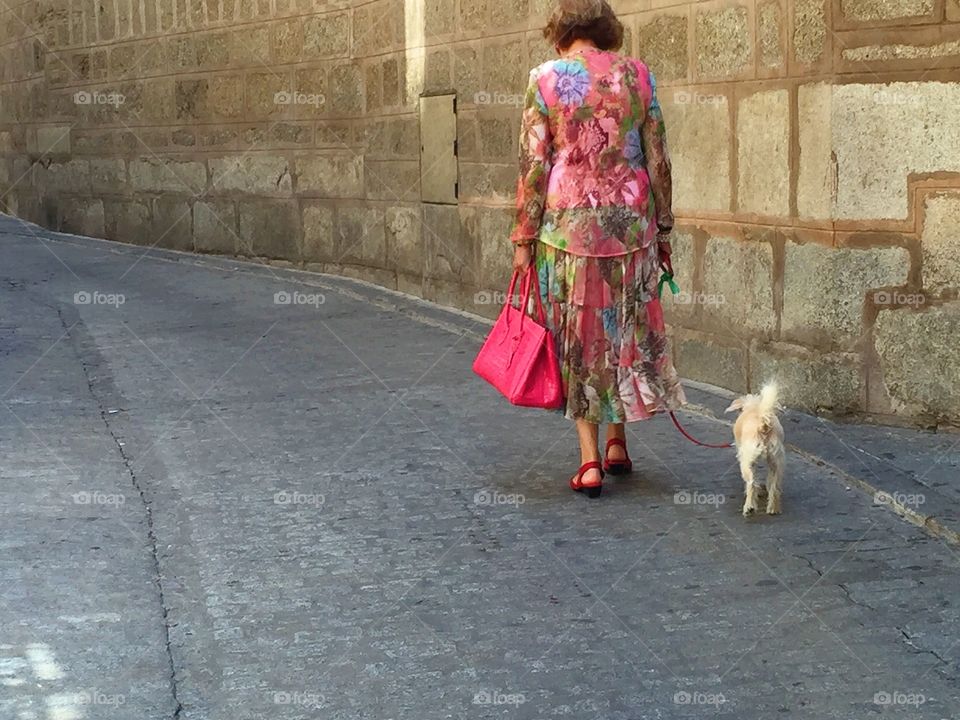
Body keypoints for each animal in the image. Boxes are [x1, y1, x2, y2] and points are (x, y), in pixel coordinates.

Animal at [724, 386, 784, 516]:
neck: (754, 406)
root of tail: (763, 425)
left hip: (746, 463)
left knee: (751, 483)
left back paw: (749, 507)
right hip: (776, 461)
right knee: (774, 485)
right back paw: (773, 508)